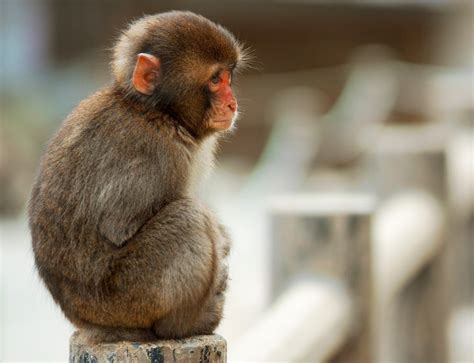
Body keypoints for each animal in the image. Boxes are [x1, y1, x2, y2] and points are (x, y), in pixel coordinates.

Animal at [28, 9, 248, 342]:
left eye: (228, 77)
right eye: (214, 79)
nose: (232, 103)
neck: (156, 112)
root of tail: (85, 320)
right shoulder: (155, 153)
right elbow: (119, 226)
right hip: (127, 299)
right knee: (188, 218)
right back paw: (185, 324)